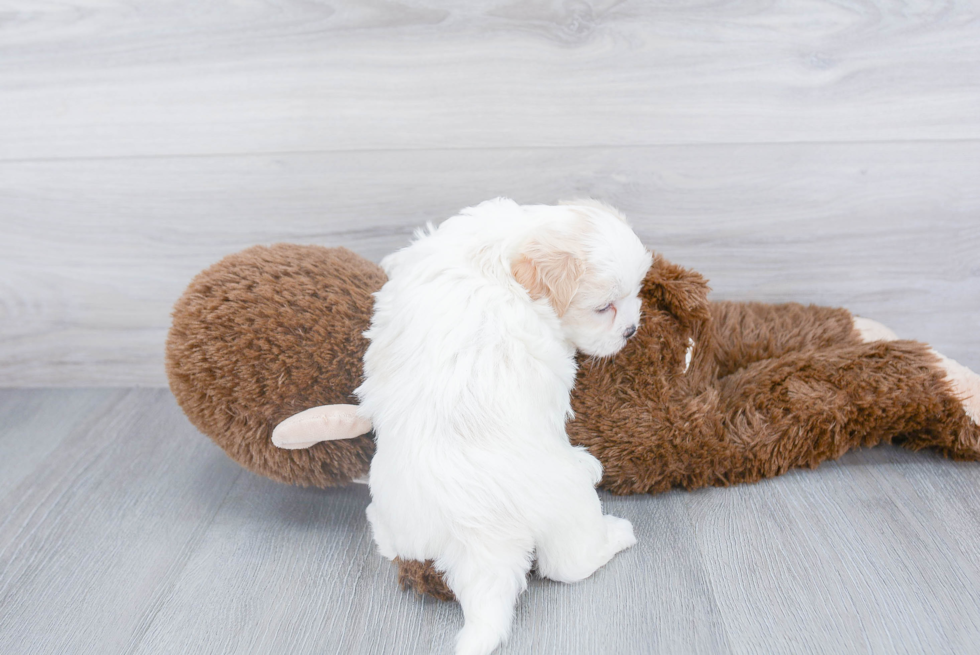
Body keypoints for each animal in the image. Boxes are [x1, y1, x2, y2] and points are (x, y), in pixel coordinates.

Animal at [352, 199, 652, 655]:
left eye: (636, 291)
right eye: (604, 308)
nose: (631, 331)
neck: (503, 253)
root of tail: (476, 537)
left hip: (403, 517)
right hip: (567, 504)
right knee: (569, 563)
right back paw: (614, 528)